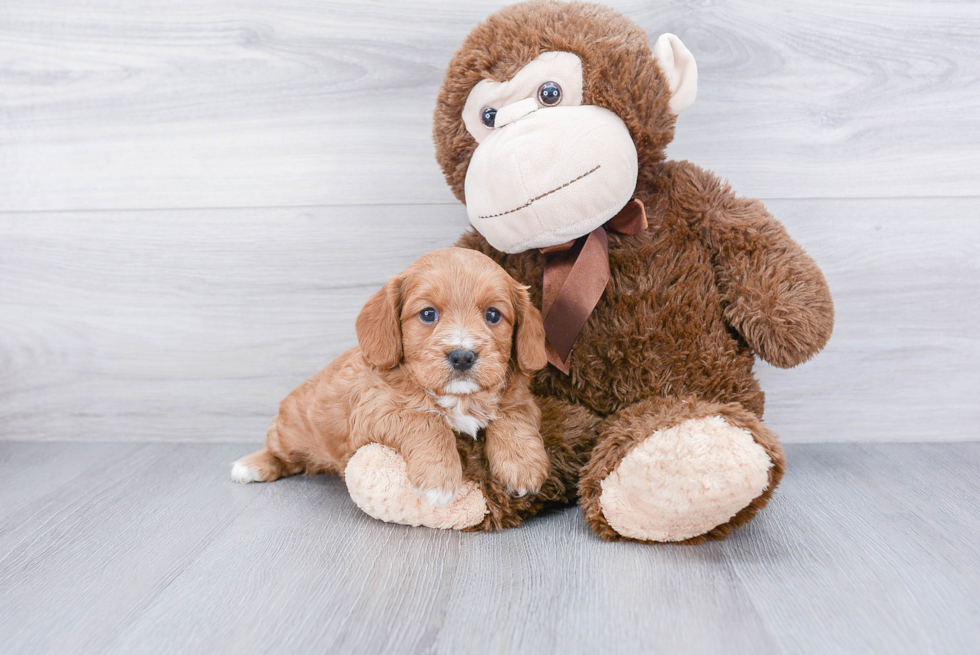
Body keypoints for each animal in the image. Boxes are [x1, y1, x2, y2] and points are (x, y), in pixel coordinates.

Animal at [231, 247, 552, 508]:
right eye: (428, 314)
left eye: (493, 315)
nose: (462, 356)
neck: (459, 398)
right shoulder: (375, 410)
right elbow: (427, 420)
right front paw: (439, 478)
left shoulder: (522, 400)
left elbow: (512, 418)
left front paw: (522, 467)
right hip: (289, 431)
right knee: (278, 451)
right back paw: (251, 465)